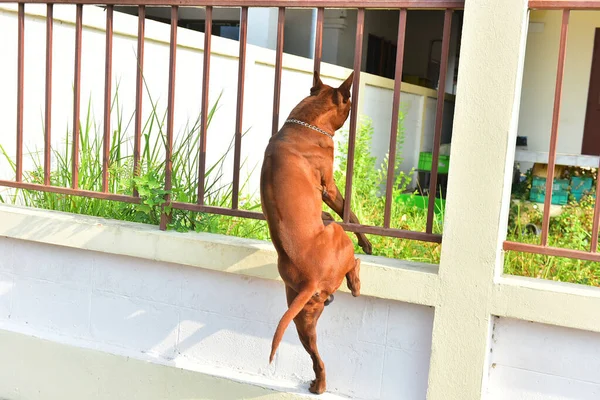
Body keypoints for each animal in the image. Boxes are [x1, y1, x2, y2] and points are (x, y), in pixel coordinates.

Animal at [260, 70, 372, 396]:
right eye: (349, 102)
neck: (304, 123)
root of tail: (312, 278)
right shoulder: (330, 187)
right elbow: (350, 212)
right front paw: (367, 242)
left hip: (303, 318)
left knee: (316, 357)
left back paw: (319, 386)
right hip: (337, 238)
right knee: (351, 261)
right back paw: (356, 280)